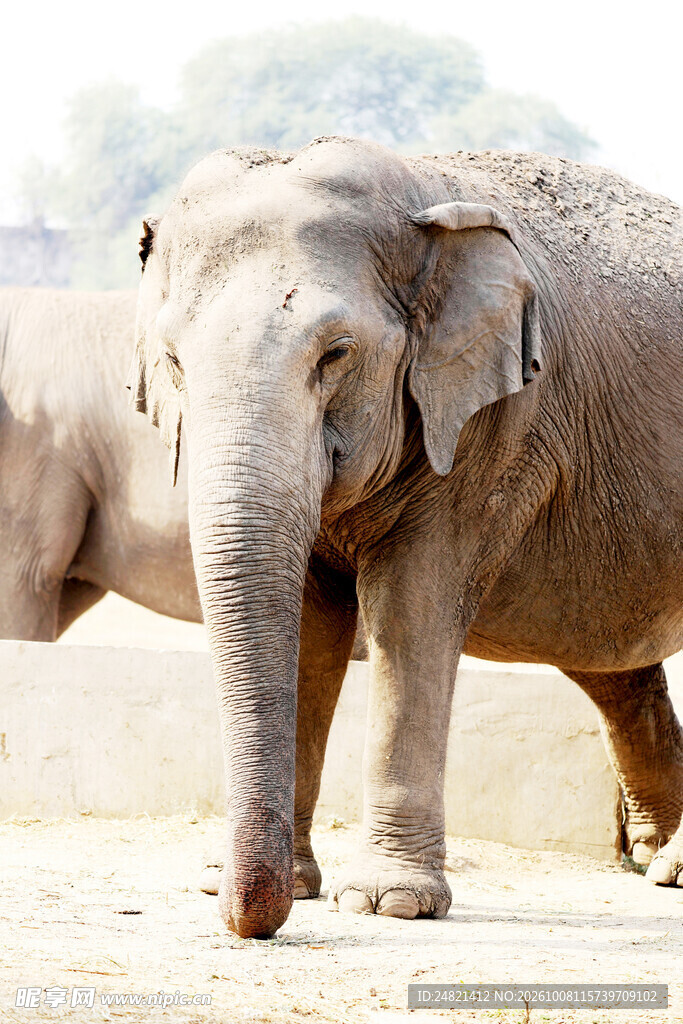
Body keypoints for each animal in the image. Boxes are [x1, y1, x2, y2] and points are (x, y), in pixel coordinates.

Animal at [131, 136, 683, 939]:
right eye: (173, 360)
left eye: (336, 353)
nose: (246, 921)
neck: (421, 203)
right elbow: (310, 628)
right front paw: (272, 887)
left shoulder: (494, 428)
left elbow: (411, 611)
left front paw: (388, 902)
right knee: (613, 665)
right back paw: (663, 865)